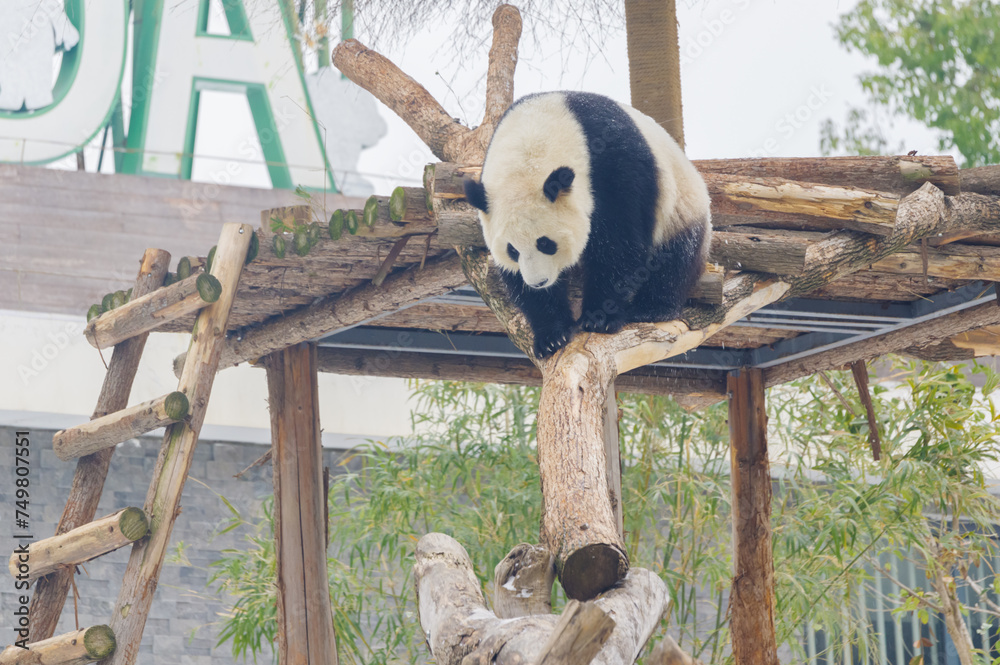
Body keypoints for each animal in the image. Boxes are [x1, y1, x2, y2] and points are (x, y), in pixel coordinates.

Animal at [463, 91, 712, 359]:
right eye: (512, 250)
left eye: (546, 243)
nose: (539, 282)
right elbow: (517, 279)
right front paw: (551, 336)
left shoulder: (613, 165)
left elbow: (618, 246)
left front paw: (599, 318)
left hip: (681, 206)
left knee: (673, 259)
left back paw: (652, 308)